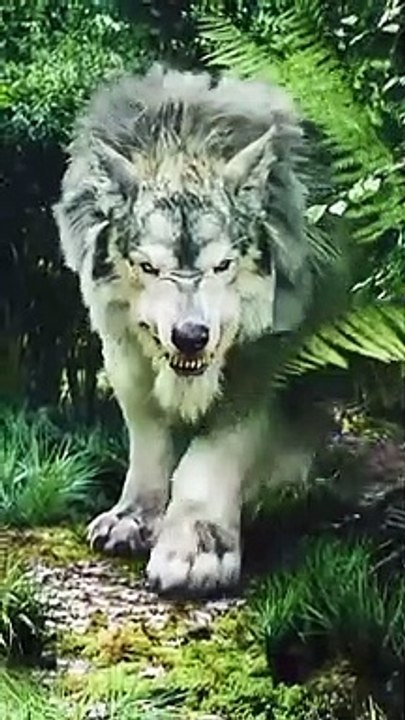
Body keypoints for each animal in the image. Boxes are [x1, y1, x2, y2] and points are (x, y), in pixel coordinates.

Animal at [54, 64, 341, 596]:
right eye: (149, 267)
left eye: (221, 265)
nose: (191, 336)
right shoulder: (123, 351)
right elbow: (148, 438)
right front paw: (134, 518)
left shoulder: (264, 360)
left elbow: (208, 459)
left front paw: (195, 548)